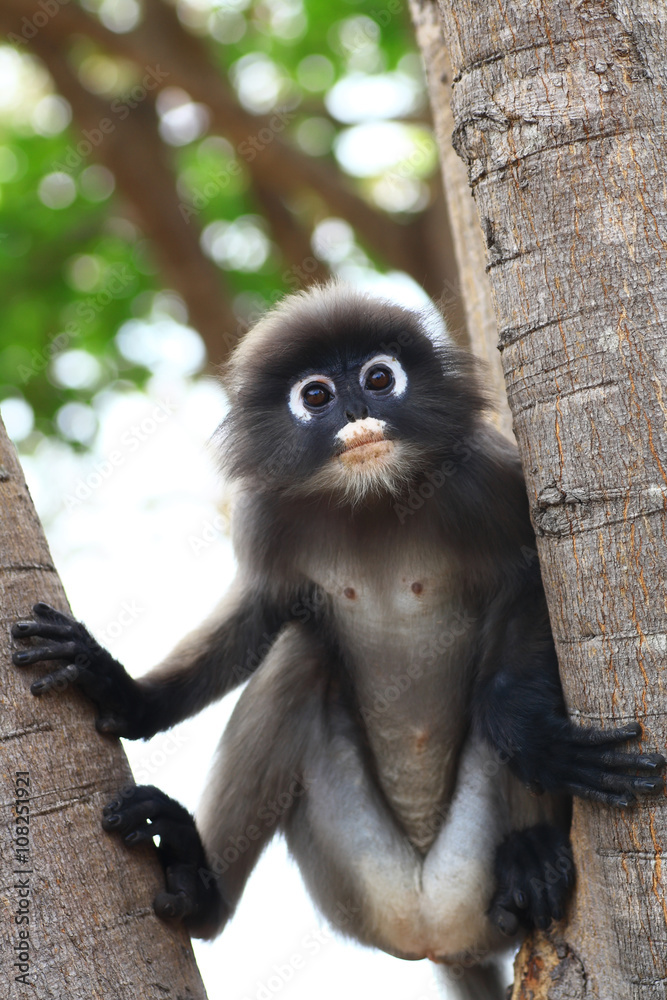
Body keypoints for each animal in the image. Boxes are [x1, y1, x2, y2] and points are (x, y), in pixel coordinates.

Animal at [13, 283, 665, 1000]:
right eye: (317, 394)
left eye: (379, 379)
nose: (357, 410)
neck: (372, 498)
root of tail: (435, 934)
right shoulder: (266, 517)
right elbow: (259, 611)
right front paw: (119, 690)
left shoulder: (488, 476)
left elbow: (535, 586)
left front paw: (530, 737)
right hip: (356, 883)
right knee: (301, 657)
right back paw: (195, 884)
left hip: (464, 876)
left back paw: (532, 858)